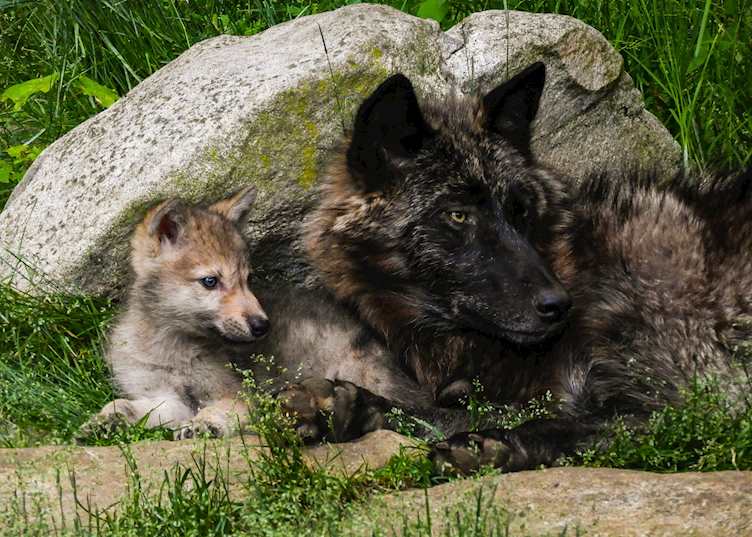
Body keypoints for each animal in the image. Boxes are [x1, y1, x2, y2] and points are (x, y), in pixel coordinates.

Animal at [282, 62, 752, 473]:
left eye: (520, 210)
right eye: (457, 215)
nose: (559, 305)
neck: (576, 257)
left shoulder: (700, 400)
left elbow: (563, 420)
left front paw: (500, 445)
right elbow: (458, 407)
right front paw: (352, 408)